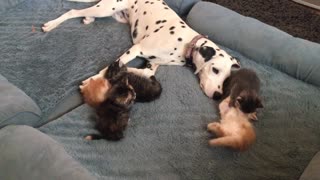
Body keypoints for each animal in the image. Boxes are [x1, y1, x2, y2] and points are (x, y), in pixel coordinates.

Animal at [42, 0, 240, 99]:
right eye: (215, 70)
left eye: (227, 79)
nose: (218, 95)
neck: (185, 43)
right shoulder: (137, 49)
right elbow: (109, 67)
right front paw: (93, 79)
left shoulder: (151, 65)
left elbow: (139, 71)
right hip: (105, 8)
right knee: (73, 11)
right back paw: (52, 24)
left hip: (115, 15)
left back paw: (88, 19)